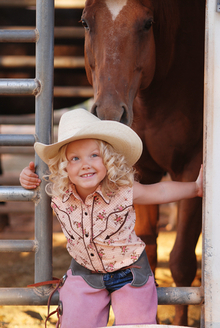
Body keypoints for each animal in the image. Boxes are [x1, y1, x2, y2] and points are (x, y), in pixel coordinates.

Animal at [81, 0, 205, 326]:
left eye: (147, 23)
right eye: (86, 22)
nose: (109, 113)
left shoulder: (192, 167)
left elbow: (182, 262)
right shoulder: (140, 173)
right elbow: (146, 247)